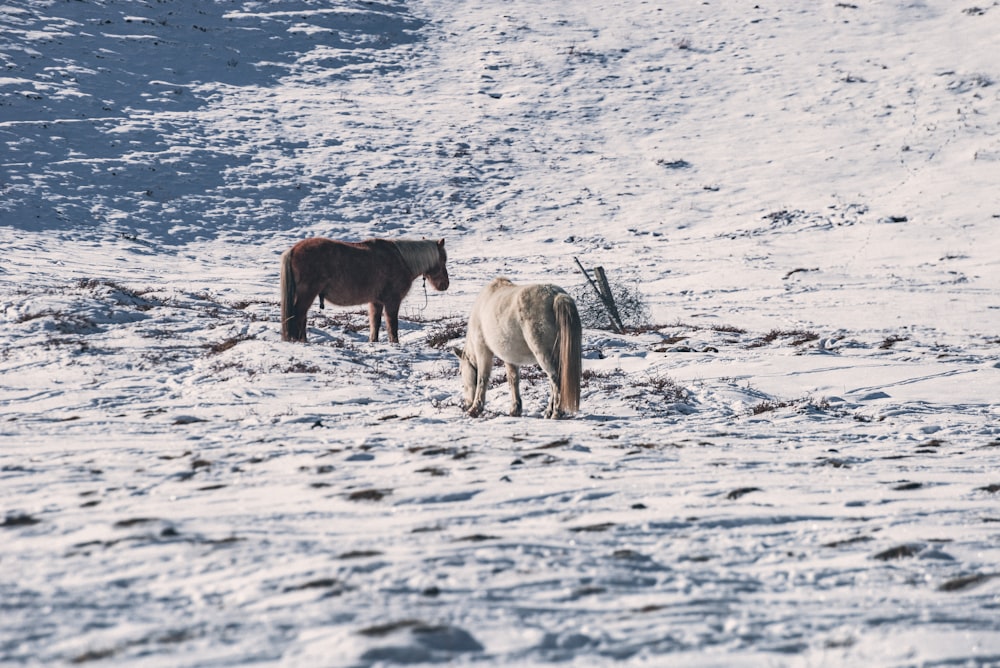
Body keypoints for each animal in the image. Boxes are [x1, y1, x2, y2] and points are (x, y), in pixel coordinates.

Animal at [284, 239, 452, 344]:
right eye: (443, 259)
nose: (445, 284)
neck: (401, 260)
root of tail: (294, 249)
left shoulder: (376, 302)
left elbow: (375, 324)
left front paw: (374, 342)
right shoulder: (392, 302)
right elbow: (392, 325)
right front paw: (395, 343)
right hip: (307, 295)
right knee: (299, 316)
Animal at [456, 280, 584, 420]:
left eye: (461, 372)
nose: (467, 404)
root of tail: (556, 295)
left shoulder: (483, 350)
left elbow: (482, 378)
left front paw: (475, 408)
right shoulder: (510, 357)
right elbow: (513, 380)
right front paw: (515, 409)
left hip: (543, 354)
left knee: (556, 379)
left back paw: (556, 413)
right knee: (553, 382)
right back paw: (549, 412)